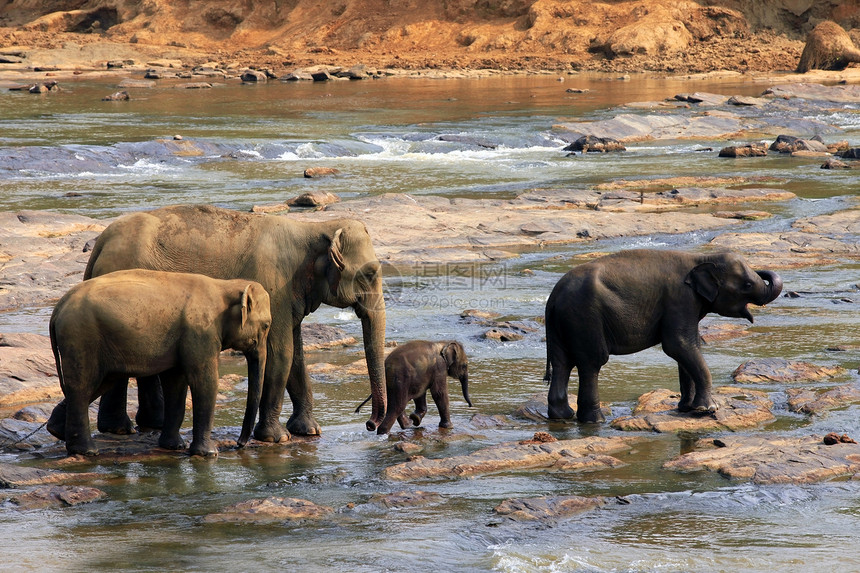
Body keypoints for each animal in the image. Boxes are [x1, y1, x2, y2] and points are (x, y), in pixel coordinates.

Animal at [44, 268, 272, 456]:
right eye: (266, 325)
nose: (239, 444)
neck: (224, 285)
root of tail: (58, 309)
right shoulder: (201, 332)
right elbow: (204, 382)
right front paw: (208, 454)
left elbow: (175, 383)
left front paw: (175, 447)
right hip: (81, 337)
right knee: (83, 386)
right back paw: (87, 451)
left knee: (97, 384)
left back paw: (58, 431)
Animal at [84, 203, 386, 440]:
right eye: (370, 273)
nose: (370, 425)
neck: (313, 229)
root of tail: (100, 243)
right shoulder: (274, 287)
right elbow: (281, 352)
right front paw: (277, 438)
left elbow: (297, 356)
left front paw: (309, 430)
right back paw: (121, 429)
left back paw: (147, 424)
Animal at [548, 248, 784, 422]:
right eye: (747, 285)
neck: (702, 258)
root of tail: (553, 296)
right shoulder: (680, 298)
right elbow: (677, 345)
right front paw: (707, 409)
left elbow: (690, 346)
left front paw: (687, 408)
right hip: (585, 317)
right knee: (591, 363)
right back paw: (595, 420)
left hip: (565, 323)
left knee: (562, 363)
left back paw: (562, 416)